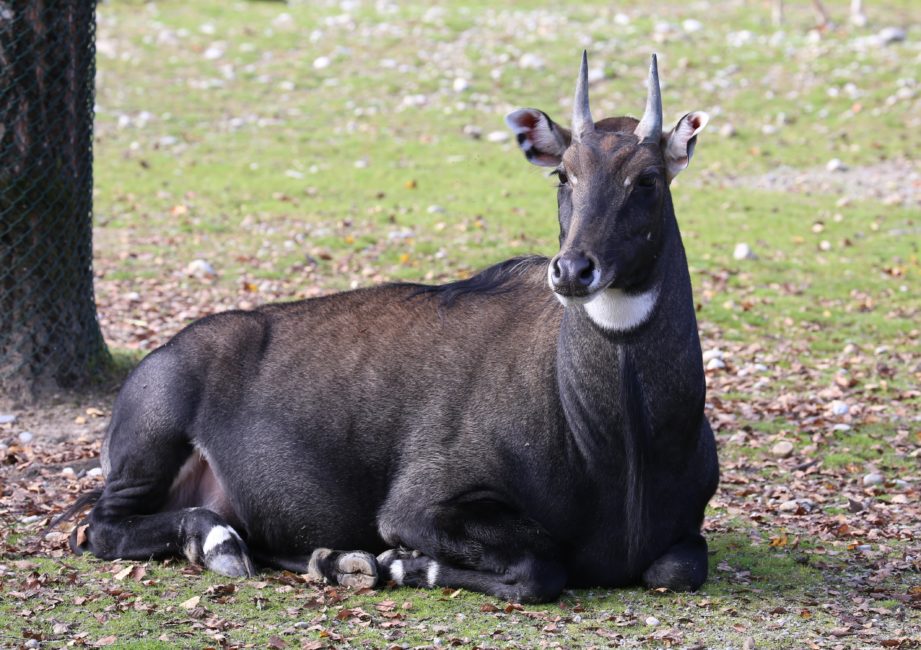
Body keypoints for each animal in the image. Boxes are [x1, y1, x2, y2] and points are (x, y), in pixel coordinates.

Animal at [61, 52, 720, 604]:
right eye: (564, 174)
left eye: (647, 179)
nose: (573, 270)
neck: (621, 448)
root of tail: (159, 356)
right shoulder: (417, 506)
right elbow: (541, 568)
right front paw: (402, 563)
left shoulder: (686, 531)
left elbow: (680, 565)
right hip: (147, 451)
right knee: (99, 527)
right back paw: (223, 542)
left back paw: (330, 559)